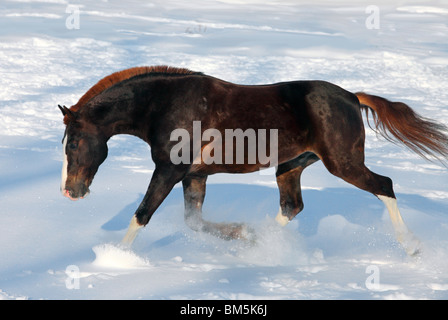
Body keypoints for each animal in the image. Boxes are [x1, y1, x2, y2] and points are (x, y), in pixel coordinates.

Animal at [58, 65, 448, 255]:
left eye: (74, 142)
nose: (70, 192)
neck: (164, 105)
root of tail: (353, 97)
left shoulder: (169, 170)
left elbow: (142, 214)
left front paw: (115, 257)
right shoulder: (194, 176)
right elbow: (193, 221)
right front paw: (240, 233)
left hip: (343, 164)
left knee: (385, 186)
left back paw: (412, 247)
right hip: (291, 165)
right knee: (292, 206)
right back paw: (259, 243)